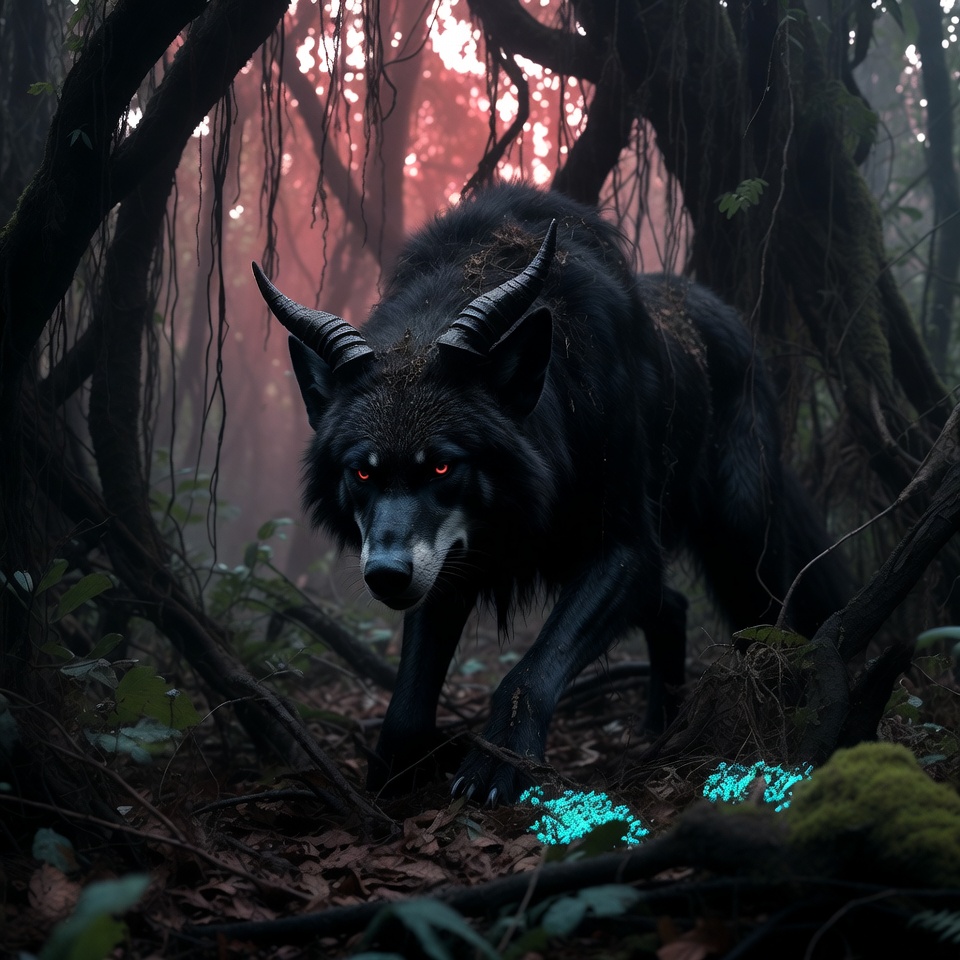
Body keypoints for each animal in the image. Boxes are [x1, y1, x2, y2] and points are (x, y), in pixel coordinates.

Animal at [253, 184, 847, 806]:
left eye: (442, 465)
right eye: (362, 474)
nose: (386, 576)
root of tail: (733, 321)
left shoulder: (627, 547)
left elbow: (532, 669)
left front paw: (496, 766)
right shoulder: (448, 567)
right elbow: (408, 701)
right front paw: (395, 776)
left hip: (740, 539)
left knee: (770, 622)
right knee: (674, 608)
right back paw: (658, 729)